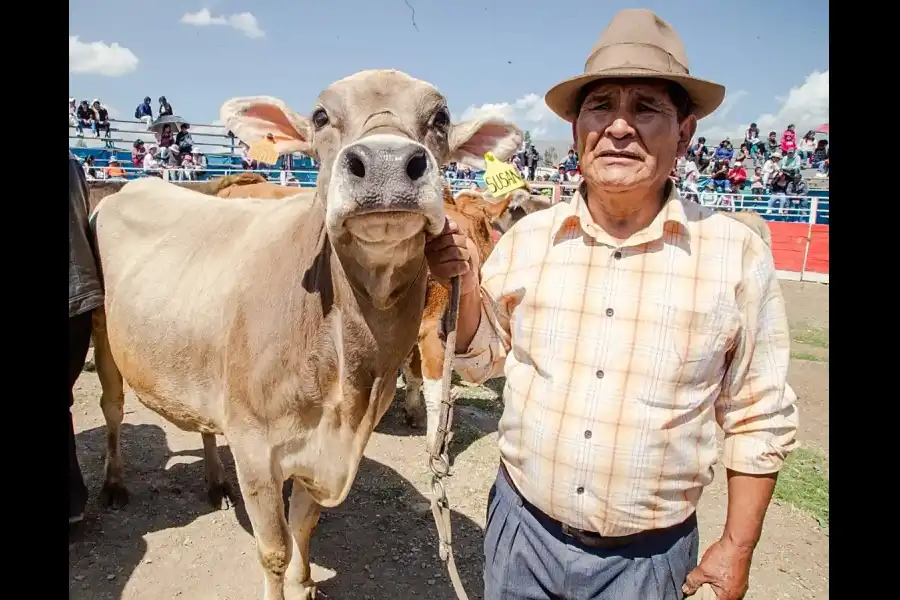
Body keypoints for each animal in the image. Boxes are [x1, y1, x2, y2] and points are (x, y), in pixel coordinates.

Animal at [90, 68, 520, 596]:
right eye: (319, 116)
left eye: (440, 118)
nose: (385, 164)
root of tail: (136, 188)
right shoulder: (255, 449)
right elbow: (273, 549)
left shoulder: (324, 452)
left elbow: (304, 524)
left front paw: (304, 581)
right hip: (103, 335)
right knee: (112, 408)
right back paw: (114, 484)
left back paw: (215, 483)